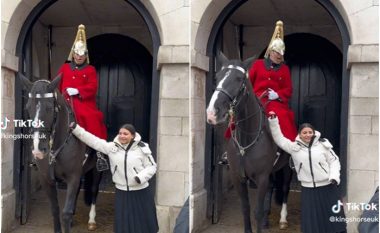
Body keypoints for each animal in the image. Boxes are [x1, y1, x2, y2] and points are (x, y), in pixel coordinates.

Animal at [19, 75, 102, 233]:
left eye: (49, 108)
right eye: (27, 107)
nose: (38, 149)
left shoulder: (73, 176)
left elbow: (66, 214)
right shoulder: (47, 179)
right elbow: (55, 210)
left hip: (96, 169)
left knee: (94, 190)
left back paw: (92, 220)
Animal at [206, 52, 292, 233]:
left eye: (239, 79)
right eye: (217, 76)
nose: (212, 113)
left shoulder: (261, 177)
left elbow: (257, 211)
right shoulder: (238, 178)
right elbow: (245, 209)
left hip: (288, 166)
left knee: (285, 188)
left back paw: (282, 219)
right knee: (272, 186)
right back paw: (267, 218)